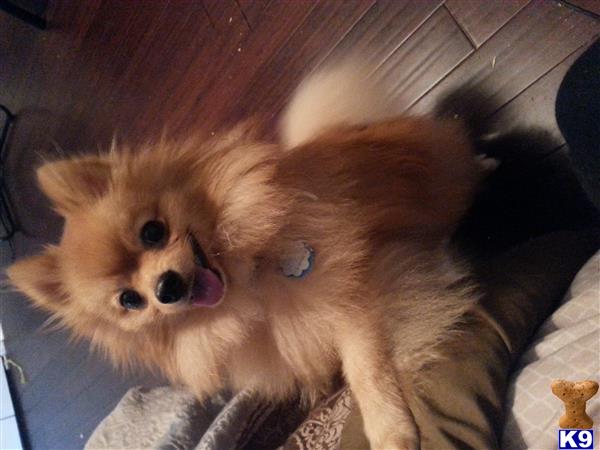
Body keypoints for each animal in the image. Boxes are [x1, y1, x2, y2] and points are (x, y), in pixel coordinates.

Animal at [8, 64, 488, 450]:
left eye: (152, 231)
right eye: (130, 300)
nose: (166, 288)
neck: (247, 285)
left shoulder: (359, 296)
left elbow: (367, 369)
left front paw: (390, 432)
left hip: (445, 173)